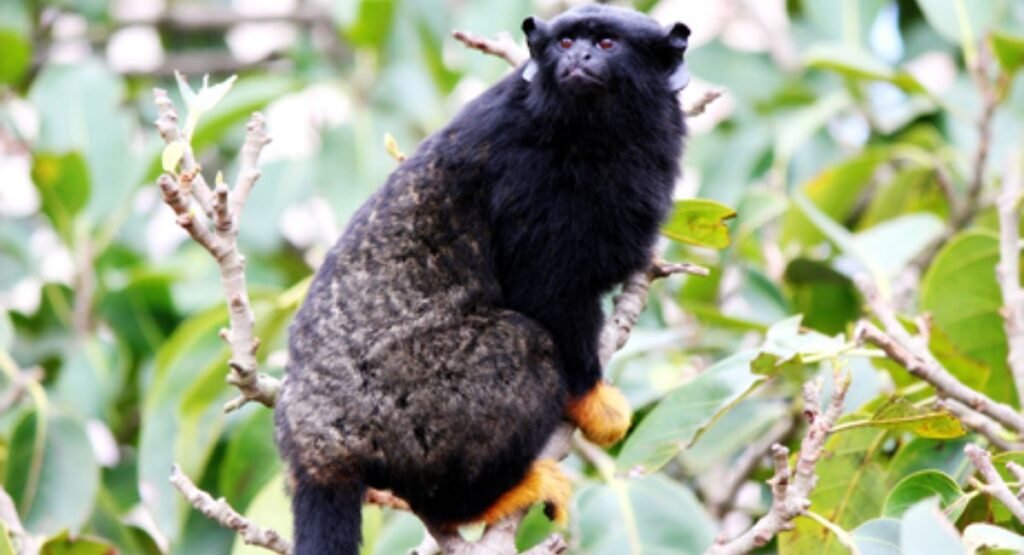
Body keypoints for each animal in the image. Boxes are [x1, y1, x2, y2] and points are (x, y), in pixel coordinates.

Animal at [274, 5, 690, 554]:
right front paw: (592, 402)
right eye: (565, 43)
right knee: (523, 342)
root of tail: (317, 446)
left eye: (604, 44)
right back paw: (483, 501)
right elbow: (546, 293)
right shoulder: (533, 179)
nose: (577, 59)